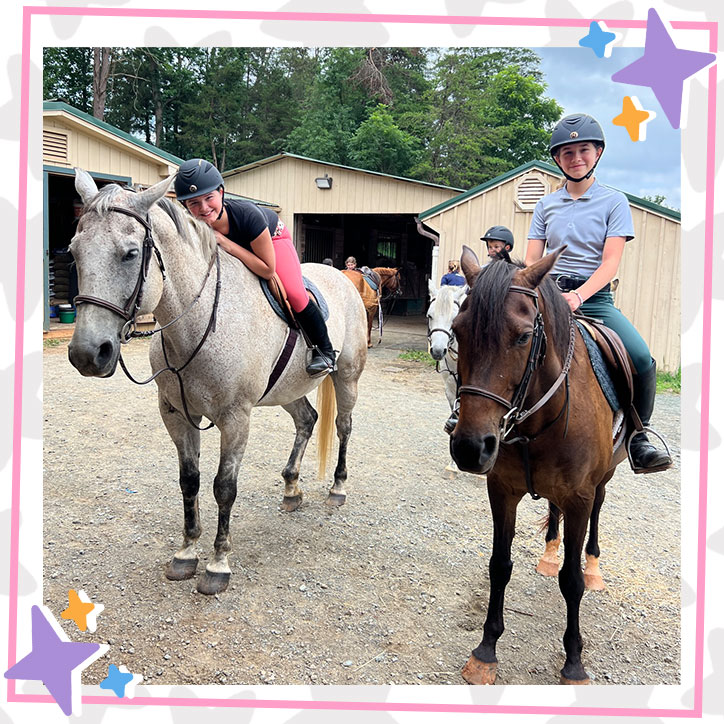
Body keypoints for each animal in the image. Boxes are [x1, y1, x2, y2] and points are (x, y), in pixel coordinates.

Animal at [452, 247, 628, 684]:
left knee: (598, 512)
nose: (470, 448)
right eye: (459, 332)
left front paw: (574, 662)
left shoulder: (580, 496)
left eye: (523, 336)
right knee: (552, 510)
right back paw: (548, 554)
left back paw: (594, 566)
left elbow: (572, 580)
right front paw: (485, 651)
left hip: (603, 478)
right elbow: (499, 565)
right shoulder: (502, 491)